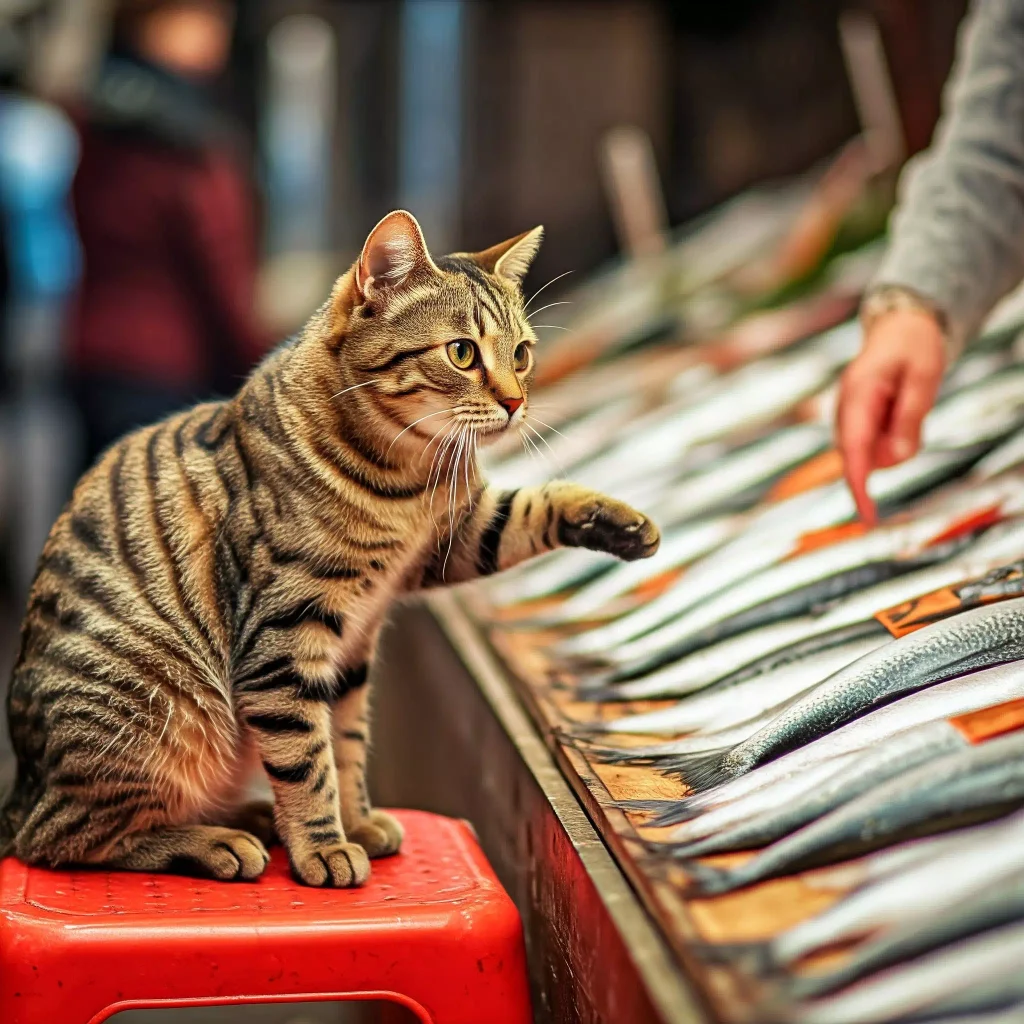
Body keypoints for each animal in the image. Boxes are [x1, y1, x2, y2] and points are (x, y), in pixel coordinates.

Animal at [0, 211, 659, 884]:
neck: (407, 479)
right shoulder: (284, 641)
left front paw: (616, 521)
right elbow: (305, 759)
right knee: (67, 840)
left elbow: (344, 745)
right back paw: (216, 841)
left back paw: (250, 818)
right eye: (463, 353)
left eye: (522, 353)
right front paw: (322, 845)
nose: (516, 402)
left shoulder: (435, 557)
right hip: (161, 721)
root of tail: (20, 793)